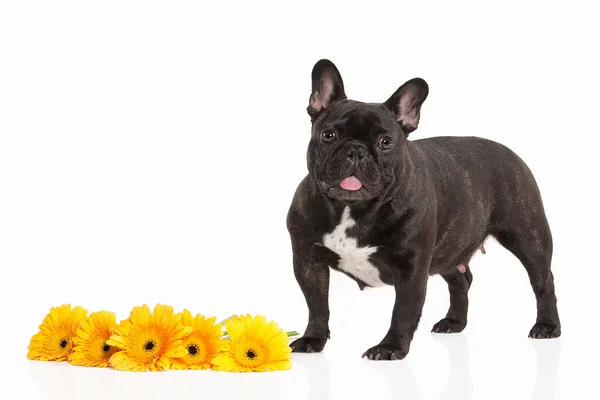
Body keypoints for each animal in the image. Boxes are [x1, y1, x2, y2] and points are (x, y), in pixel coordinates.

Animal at [286, 60, 556, 362]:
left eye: (386, 142)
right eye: (328, 136)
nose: (356, 150)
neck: (352, 208)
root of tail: (512, 153)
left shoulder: (412, 268)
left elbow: (403, 310)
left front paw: (391, 347)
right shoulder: (308, 261)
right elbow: (317, 305)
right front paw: (313, 338)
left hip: (528, 238)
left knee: (543, 280)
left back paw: (547, 326)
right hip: (451, 249)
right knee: (461, 280)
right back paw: (454, 322)